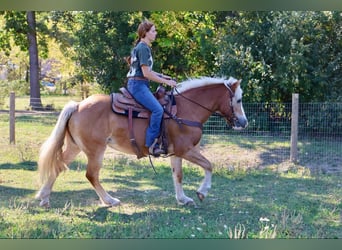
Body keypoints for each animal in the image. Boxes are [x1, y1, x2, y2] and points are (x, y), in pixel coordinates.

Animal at [35, 75, 248, 207]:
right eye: (238, 100)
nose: (244, 122)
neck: (186, 109)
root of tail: (78, 105)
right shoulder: (186, 149)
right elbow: (209, 165)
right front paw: (202, 192)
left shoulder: (176, 152)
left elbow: (178, 175)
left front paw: (183, 199)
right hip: (96, 150)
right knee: (91, 175)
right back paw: (110, 200)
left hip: (76, 147)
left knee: (58, 165)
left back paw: (44, 198)